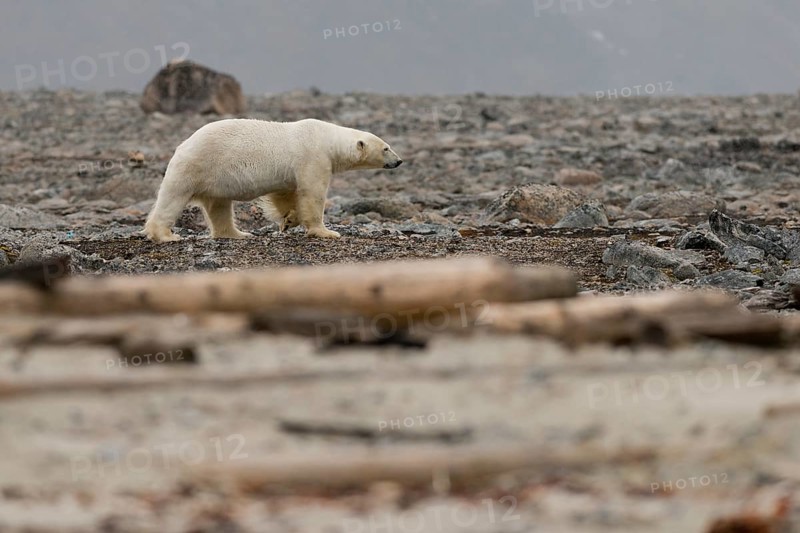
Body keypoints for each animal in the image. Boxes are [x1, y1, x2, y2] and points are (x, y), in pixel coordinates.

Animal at [143, 118, 402, 242]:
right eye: (386, 148)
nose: (399, 161)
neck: (328, 139)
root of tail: (183, 145)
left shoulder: (290, 172)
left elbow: (285, 194)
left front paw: (288, 220)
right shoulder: (313, 157)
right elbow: (313, 193)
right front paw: (326, 232)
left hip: (214, 179)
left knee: (219, 207)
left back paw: (237, 234)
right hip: (196, 167)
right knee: (172, 198)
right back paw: (166, 235)